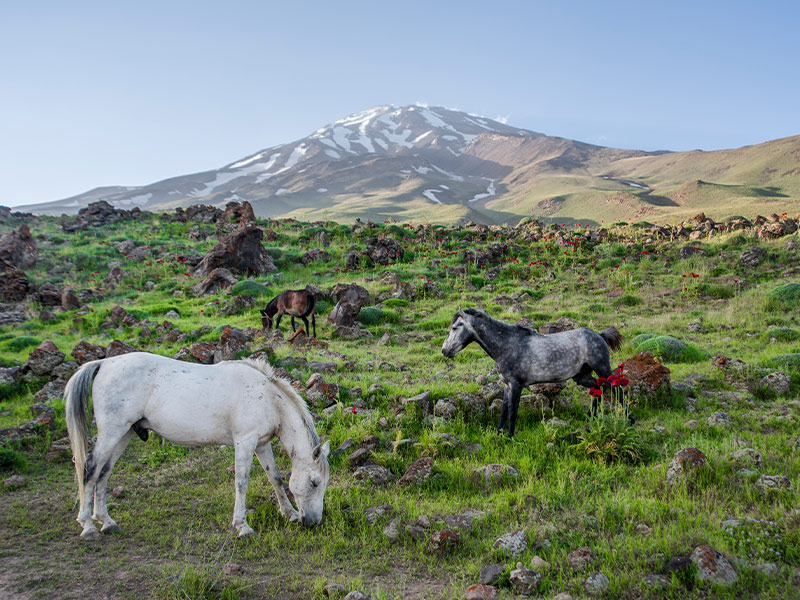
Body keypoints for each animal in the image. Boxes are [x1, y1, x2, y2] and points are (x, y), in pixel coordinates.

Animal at [64, 352, 330, 540]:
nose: (313, 522)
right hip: (112, 432)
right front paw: (242, 526)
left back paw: (107, 521)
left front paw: (290, 514)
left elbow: (275, 477)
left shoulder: (261, 443)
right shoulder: (245, 441)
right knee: (90, 469)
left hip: (125, 433)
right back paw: (88, 526)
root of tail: (104, 363)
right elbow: (241, 482)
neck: (268, 398)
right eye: (315, 482)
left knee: (104, 472)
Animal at [440, 310, 620, 436]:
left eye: (455, 327)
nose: (444, 351)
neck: (508, 345)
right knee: (598, 388)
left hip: (602, 369)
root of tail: (599, 335)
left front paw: (510, 437)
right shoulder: (507, 385)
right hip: (582, 376)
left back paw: (623, 418)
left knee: (617, 389)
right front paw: (499, 434)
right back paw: (591, 417)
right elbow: (504, 411)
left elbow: (513, 411)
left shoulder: (517, 385)